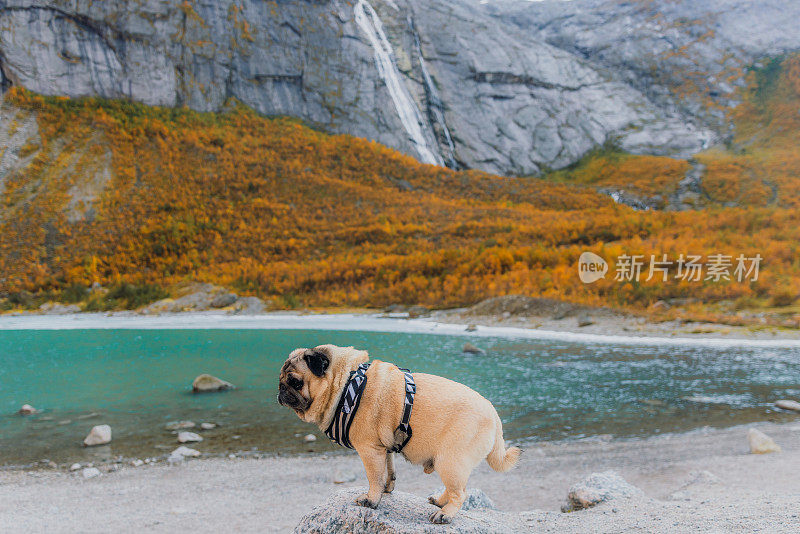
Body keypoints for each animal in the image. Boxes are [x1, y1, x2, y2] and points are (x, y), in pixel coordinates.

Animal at [278, 346, 520, 524]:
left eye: (295, 382)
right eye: (281, 379)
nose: (280, 390)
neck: (347, 383)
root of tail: (494, 416)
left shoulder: (369, 450)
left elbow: (374, 477)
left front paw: (371, 500)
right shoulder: (383, 448)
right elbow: (389, 472)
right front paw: (387, 489)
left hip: (450, 461)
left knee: (460, 493)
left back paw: (445, 514)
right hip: (449, 464)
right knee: (456, 489)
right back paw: (439, 502)